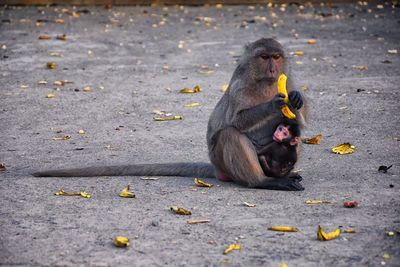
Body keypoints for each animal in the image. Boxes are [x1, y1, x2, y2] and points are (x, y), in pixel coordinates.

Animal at [33, 38, 306, 192]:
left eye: (276, 57)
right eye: (264, 57)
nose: (272, 68)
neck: (264, 81)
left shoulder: (289, 78)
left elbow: (300, 122)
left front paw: (295, 101)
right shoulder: (241, 86)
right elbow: (235, 121)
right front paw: (275, 103)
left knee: (294, 140)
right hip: (224, 160)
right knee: (229, 134)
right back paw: (262, 181)